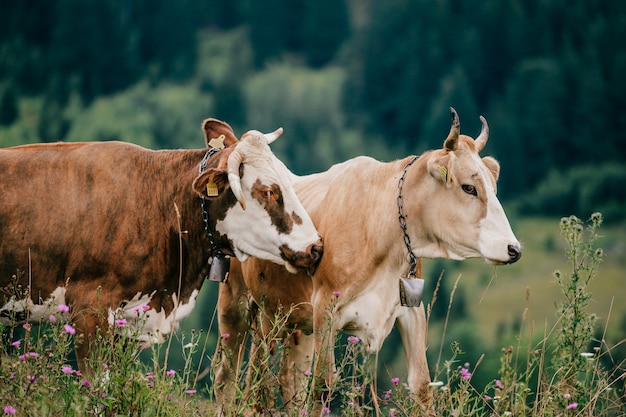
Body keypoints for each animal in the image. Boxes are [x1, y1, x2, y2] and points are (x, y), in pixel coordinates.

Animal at [214, 107, 520, 412]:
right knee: (233, 377)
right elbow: (323, 385)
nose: (513, 248)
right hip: (238, 305)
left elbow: (421, 386)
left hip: (294, 322)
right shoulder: (325, 307)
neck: (380, 227)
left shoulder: (411, 310)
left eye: (493, 187)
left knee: (286, 381)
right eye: (469, 187)